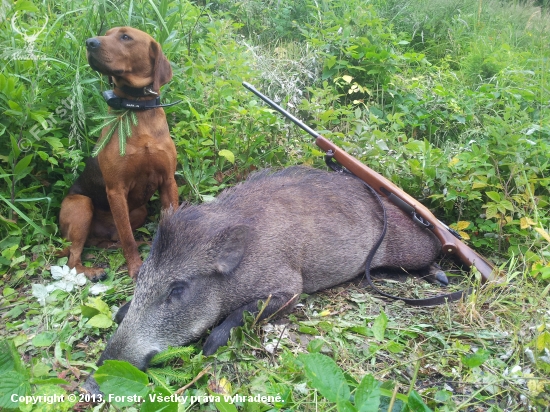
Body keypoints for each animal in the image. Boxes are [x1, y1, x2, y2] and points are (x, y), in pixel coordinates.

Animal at [60, 27, 181, 282]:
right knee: (75, 258)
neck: (137, 108)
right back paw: (92, 271)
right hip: (82, 206)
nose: (89, 42)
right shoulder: (116, 190)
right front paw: (136, 268)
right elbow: (128, 238)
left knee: (109, 240)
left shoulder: (168, 181)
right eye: (106, 34)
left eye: (125, 37)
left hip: (140, 211)